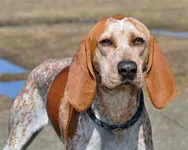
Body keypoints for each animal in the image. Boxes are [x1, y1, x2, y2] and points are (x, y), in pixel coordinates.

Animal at [3, 15, 176, 150]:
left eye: (138, 41)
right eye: (106, 42)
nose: (127, 69)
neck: (117, 117)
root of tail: (40, 65)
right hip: (17, 136)